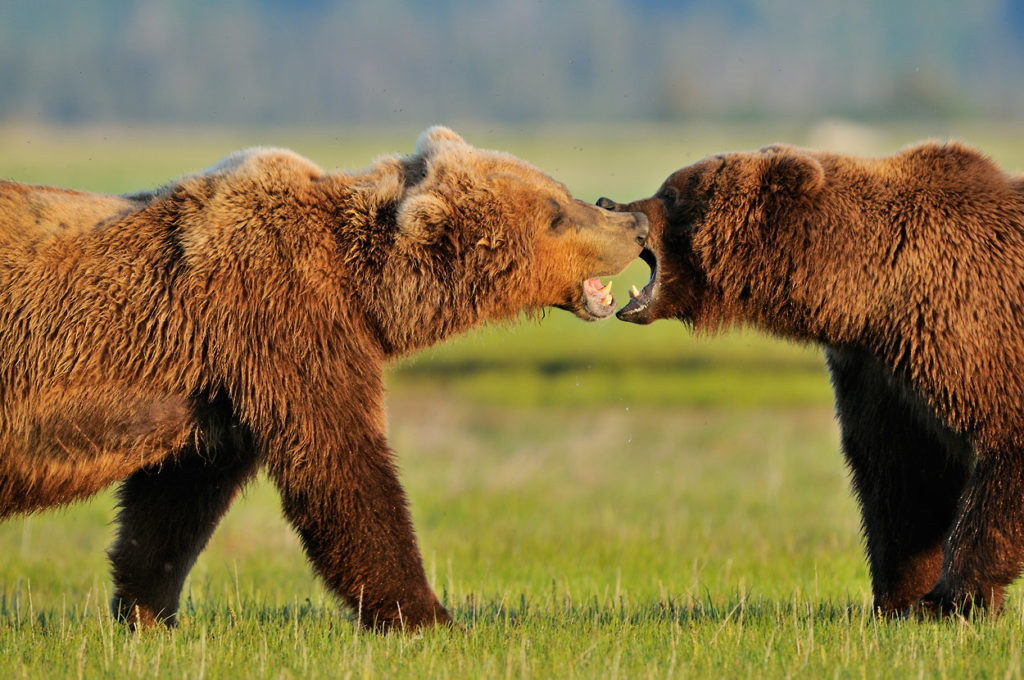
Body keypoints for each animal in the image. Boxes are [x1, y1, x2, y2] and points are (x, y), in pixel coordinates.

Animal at [0, 124, 647, 630]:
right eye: (556, 213)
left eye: (561, 192)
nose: (636, 221)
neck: (363, 289)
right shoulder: (284, 322)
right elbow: (341, 465)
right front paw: (429, 617)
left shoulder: (217, 385)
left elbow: (173, 504)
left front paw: (147, 613)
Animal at [598, 140, 1024, 618]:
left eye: (671, 194)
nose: (609, 203)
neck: (874, 297)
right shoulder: (879, 370)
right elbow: (903, 478)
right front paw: (900, 599)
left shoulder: (968, 332)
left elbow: (1000, 453)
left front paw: (951, 597)